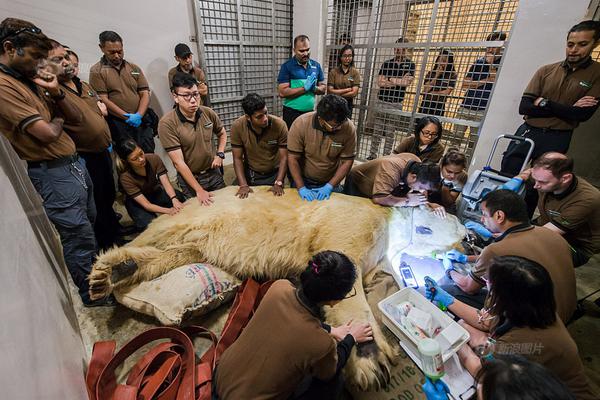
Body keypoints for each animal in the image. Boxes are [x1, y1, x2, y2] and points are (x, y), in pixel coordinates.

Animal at [89, 188, 466, 390]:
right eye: (459, 226)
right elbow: (346, 271)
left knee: (179, 252)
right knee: (158, 234)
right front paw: (372, 360)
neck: (392, 224)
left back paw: (122, 270)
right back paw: (102, 274)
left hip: (200, 238)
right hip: (194, 214)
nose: (470, 243)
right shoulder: (356, 221)